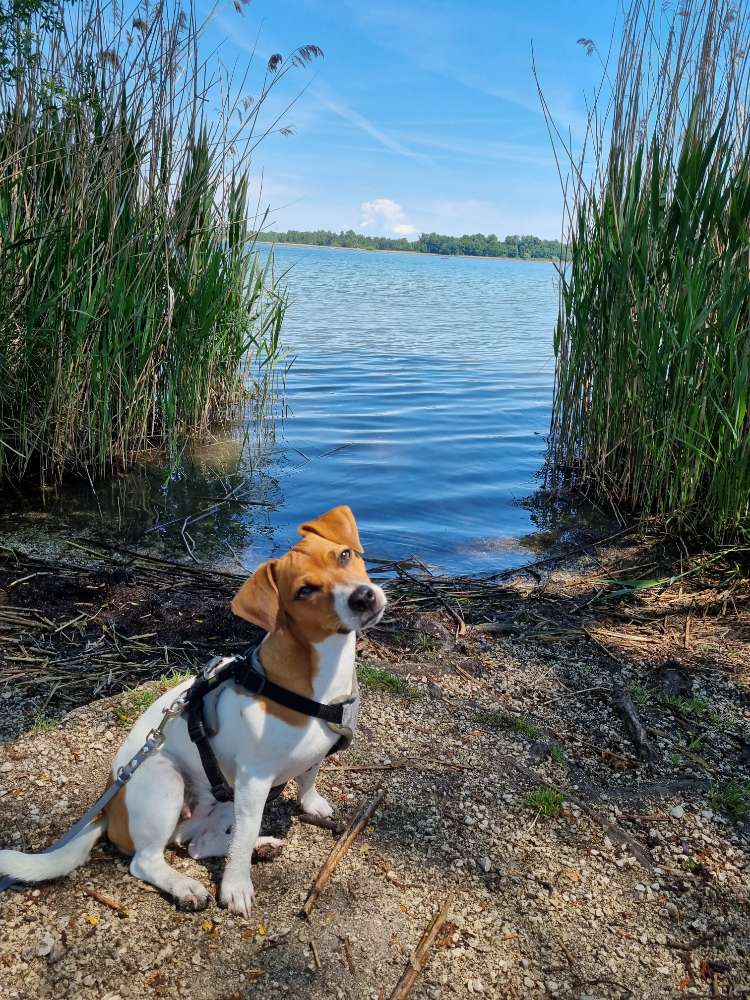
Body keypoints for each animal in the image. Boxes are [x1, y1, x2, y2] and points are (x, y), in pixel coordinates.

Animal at [0, 508, 388, 916]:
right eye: (305, 591)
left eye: (344, 555)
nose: (363, 597)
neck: (321, 677)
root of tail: (108, 806)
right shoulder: (253, 782)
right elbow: (242, 842)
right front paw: (236, 887)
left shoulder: (298, 763)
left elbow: (308, 777)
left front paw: (310, 804)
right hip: (166, 780)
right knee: (148, 860)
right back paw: (186, 885)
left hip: (223, 800)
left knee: (200, 845)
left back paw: (260, 847)